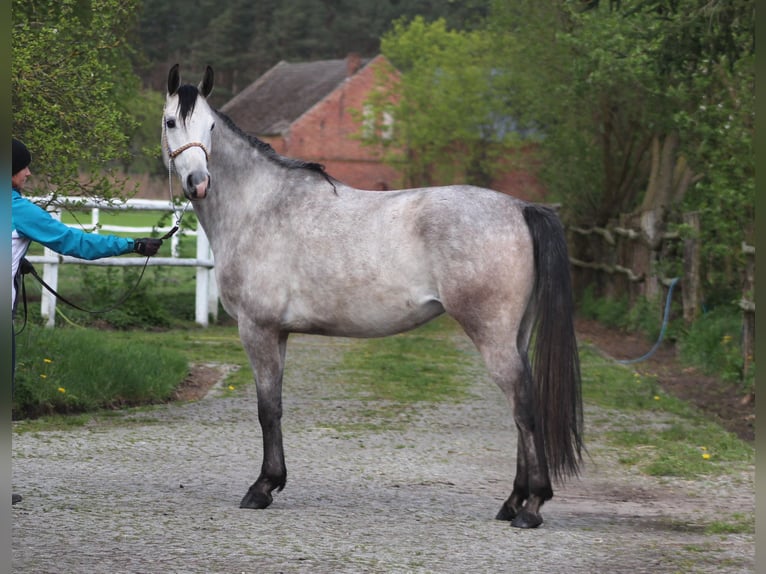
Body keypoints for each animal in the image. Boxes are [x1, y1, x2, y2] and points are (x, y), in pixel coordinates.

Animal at [160, 64, 584, 532]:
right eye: (171, 122)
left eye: (211, 127)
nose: (198, 183)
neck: (260, 207)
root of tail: (521, 208)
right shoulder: (279, 334)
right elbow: (276, 406)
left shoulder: (258, 329)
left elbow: (267, 409)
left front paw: (263, 487)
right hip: (516, 335)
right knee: (520, 406)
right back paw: (513, 501)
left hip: (493, 336)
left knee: (523, 408)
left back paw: (531, 507)